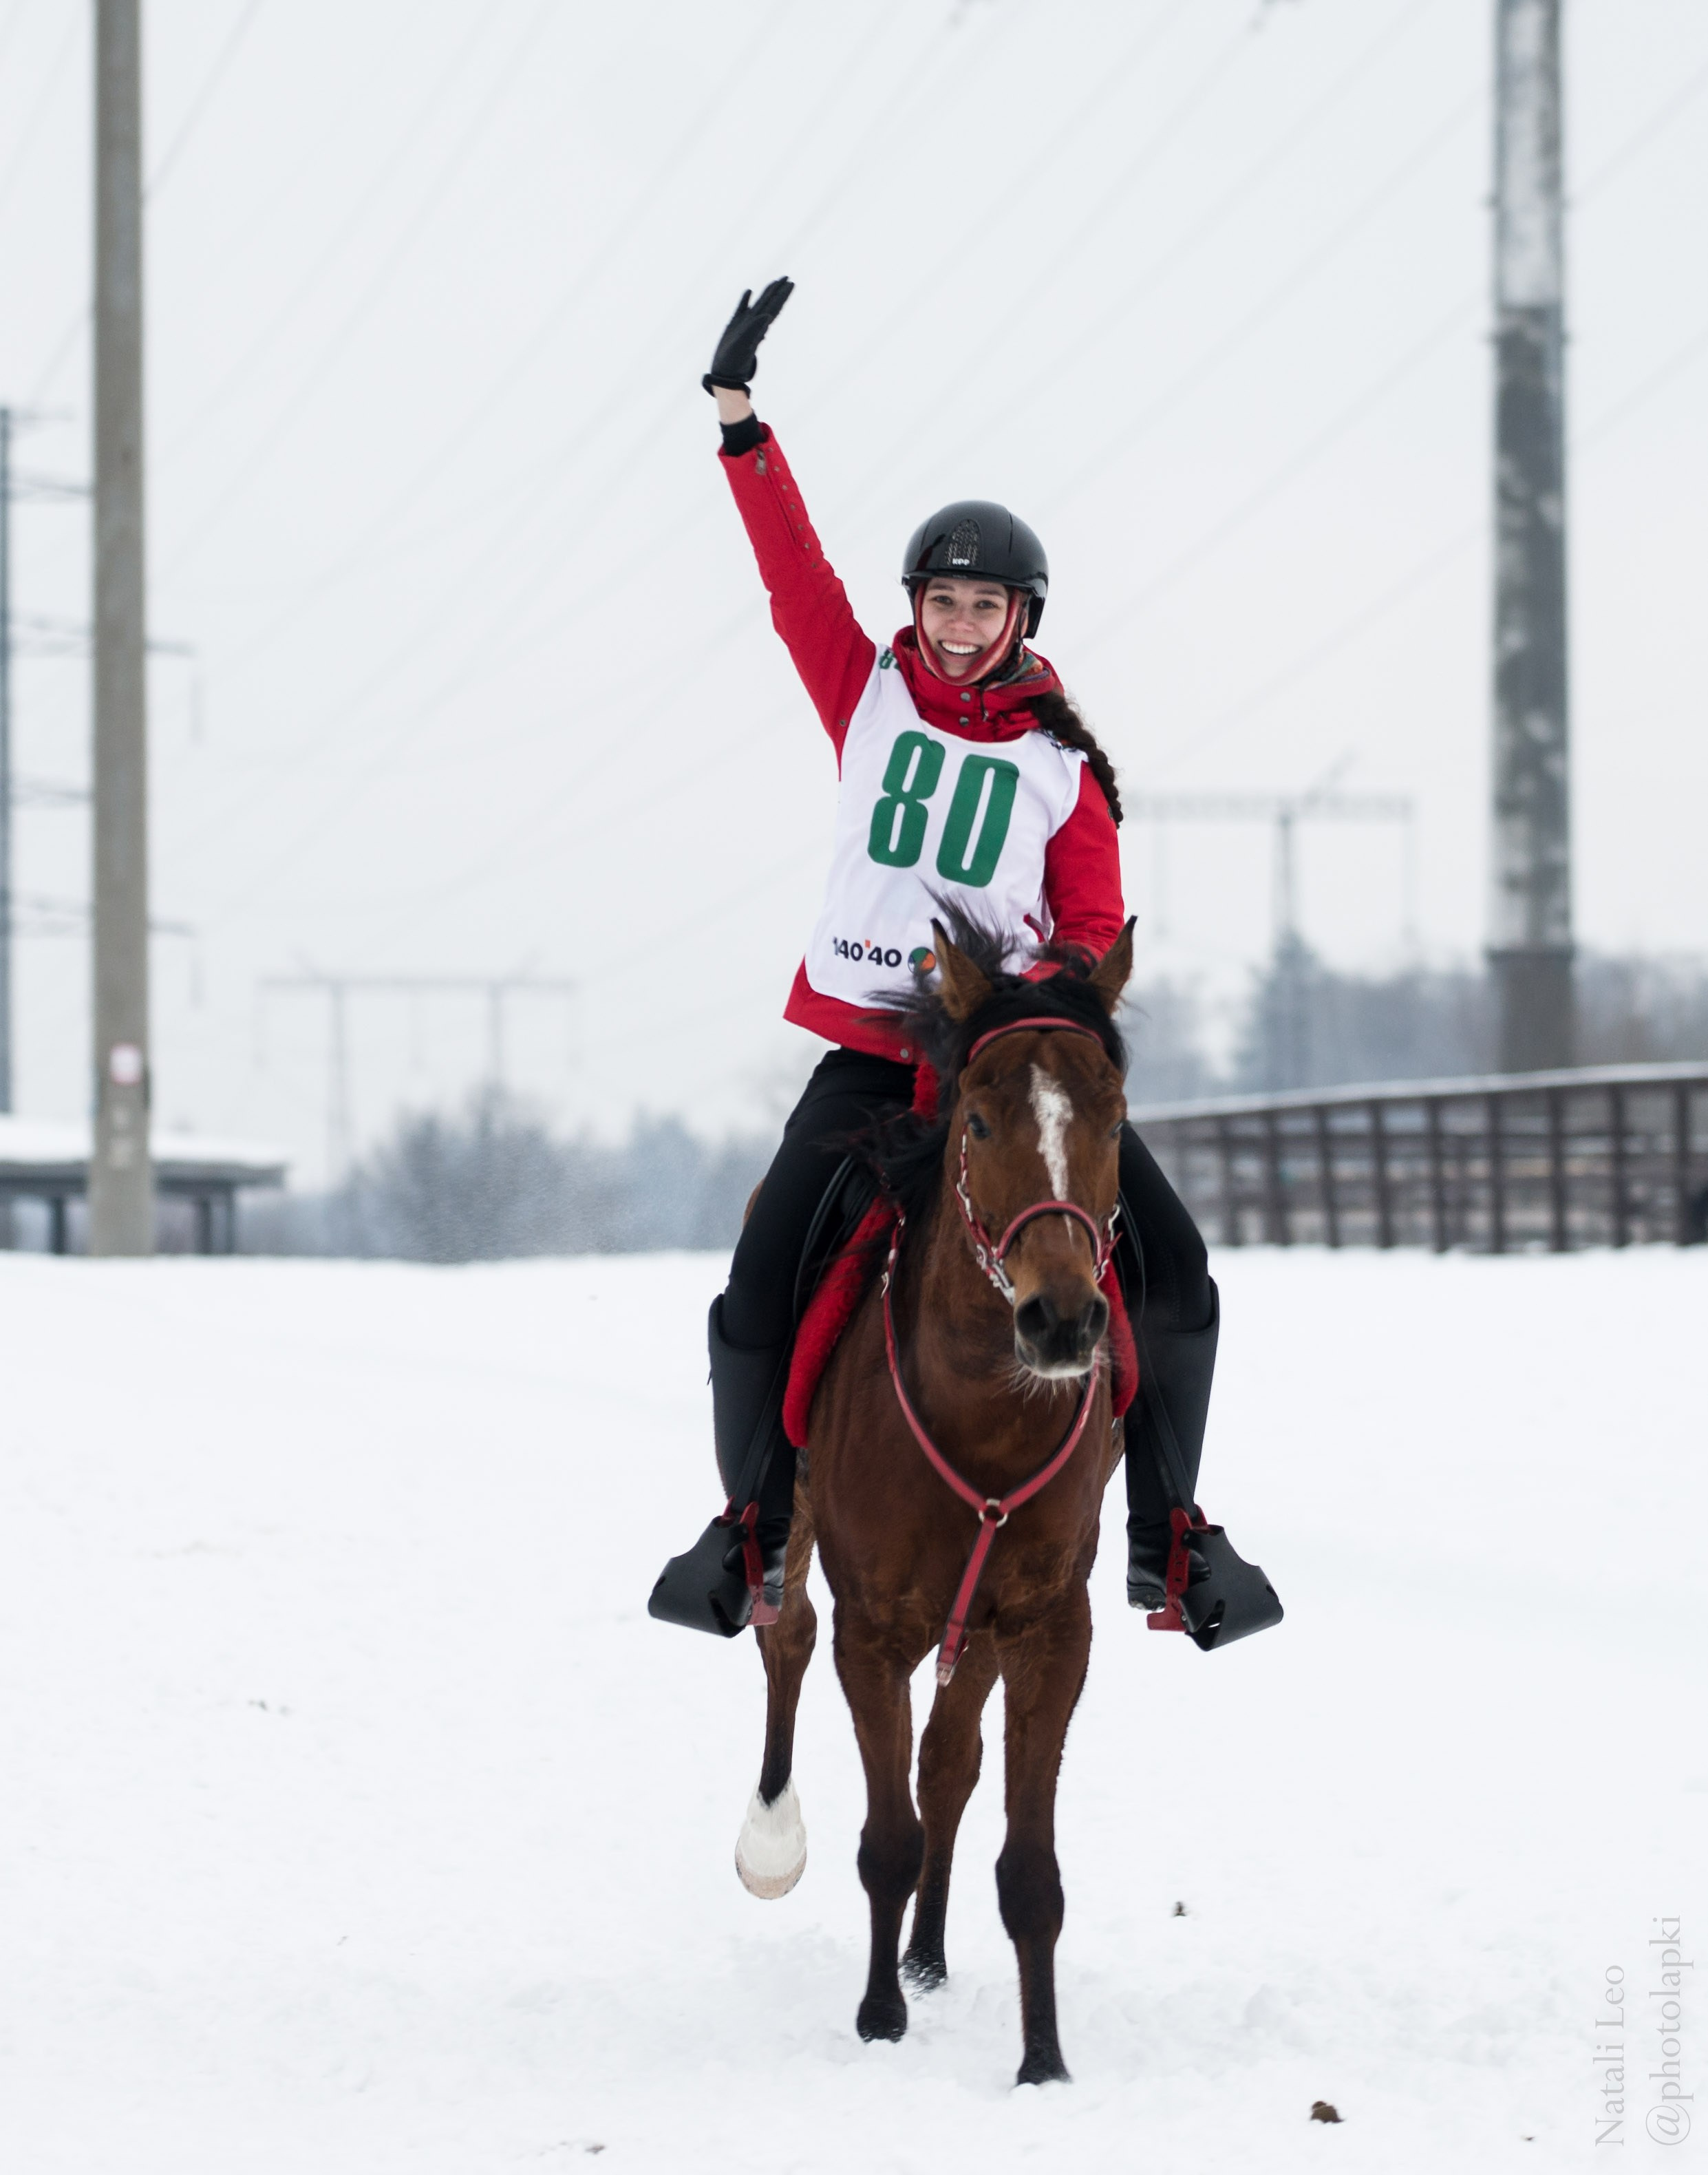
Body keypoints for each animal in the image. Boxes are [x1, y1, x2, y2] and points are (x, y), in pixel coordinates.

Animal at [736, 917, 1136, 2088]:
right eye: (981, 1117)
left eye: (1113, 1115)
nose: (1062, 1320)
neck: (983, 1416)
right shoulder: (872, 1628)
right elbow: (888, 1839)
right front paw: (875, 2019)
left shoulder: (1048, 1626)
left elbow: (1024, 1862)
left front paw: (1042, 2061)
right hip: (797, 1532)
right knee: (783, 1633)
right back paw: (773, 1839)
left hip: (982, 1624)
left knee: (948, 1766)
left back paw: (925, 1953)